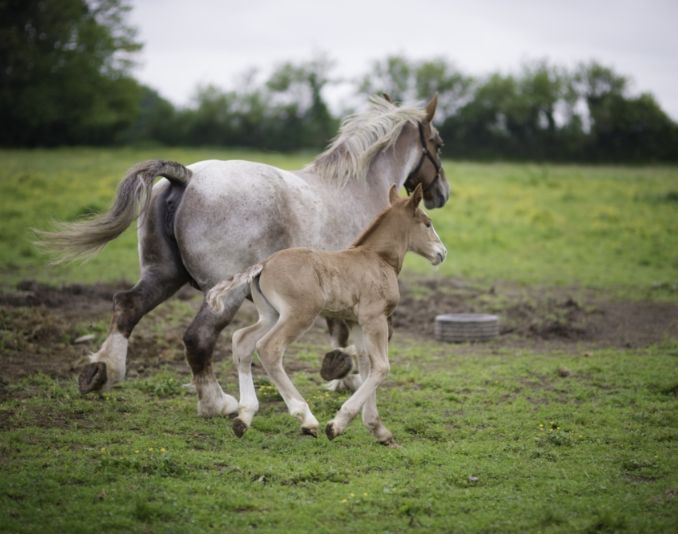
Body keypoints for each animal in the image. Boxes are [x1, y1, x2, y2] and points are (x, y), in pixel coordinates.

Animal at [210, 186, 448, 446]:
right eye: (427, 223)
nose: (442, 252)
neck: (378, 258)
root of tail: (264, 263)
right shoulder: (375, 318)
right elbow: (381, 367)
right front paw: (337, 424)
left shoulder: (356, 322)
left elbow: (366, 365)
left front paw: (378, 430)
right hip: (299, 315)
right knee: (268, 347)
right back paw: (306, 419)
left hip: (271, 315)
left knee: (242, 340)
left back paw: (244, 418)